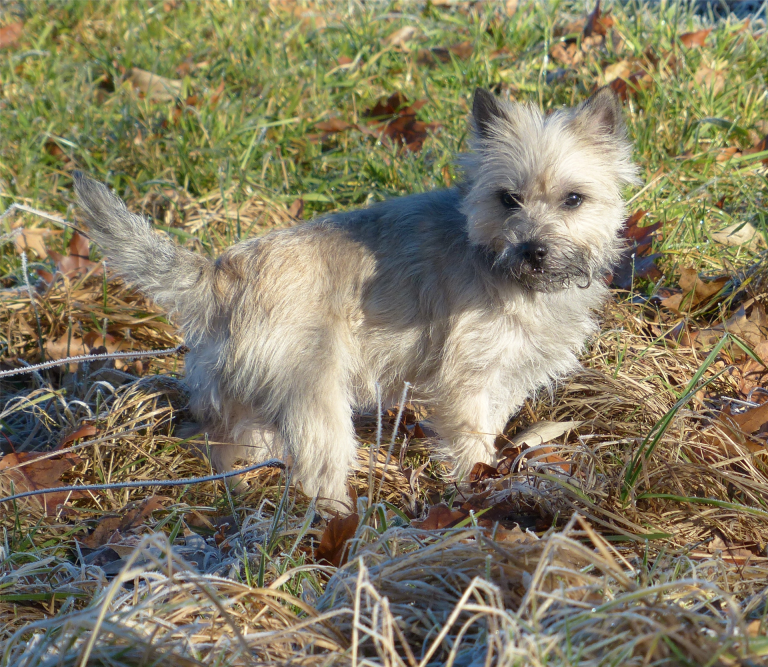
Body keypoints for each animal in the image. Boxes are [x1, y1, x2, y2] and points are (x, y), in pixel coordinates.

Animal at [72, 86, 640, 508]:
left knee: (223, 440)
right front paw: (475, 492)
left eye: (573, 199)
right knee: (317, 472)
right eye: (508, 199)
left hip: (250, 398)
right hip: (317, 397)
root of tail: (221, 275)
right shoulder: (465, 383)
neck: (498, 264)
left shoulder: (503, 380)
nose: (533, 250)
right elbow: (470, 442)